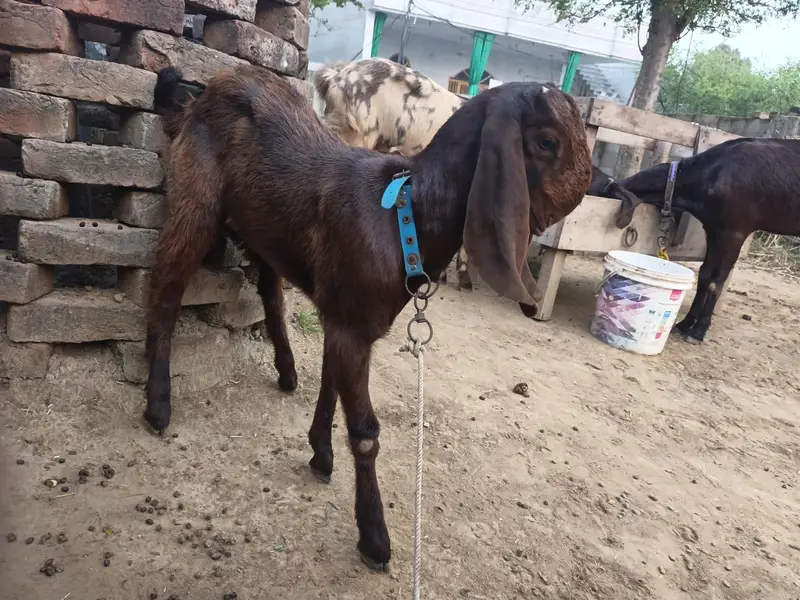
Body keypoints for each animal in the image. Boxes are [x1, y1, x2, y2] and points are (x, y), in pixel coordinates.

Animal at [147, 64, 591, 570]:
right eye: (547, 141)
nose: (578, 197)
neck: (404, 214)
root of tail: (202, 93)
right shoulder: (351, 326)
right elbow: (364, 431)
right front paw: (374, 537)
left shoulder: (340, 315)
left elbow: (330, 385)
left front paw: (320, 454)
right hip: (195, 201)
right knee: (166, 287)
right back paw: (158, 405)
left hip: (264, 229)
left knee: (269, 291)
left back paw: (286, 371)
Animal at [598, 137, 800, 343]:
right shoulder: (712, 228)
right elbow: (704, 275)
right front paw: (685, 323)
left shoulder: (735, 231)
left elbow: (716, 282)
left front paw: (698, 331)